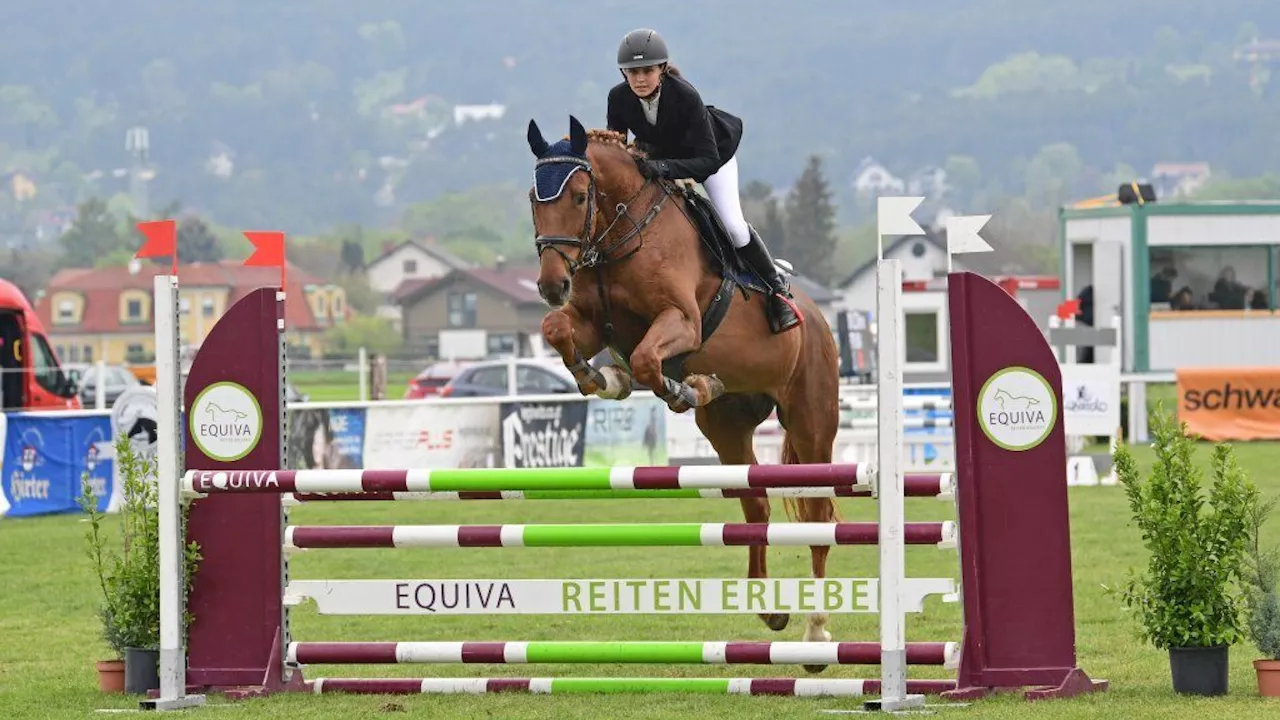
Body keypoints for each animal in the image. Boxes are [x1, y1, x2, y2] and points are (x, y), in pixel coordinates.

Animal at [524, 113, 844, 666]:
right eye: (532, 198)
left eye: (581, 197)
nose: (550, 284)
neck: (620, 235)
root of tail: (819, 317)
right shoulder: (592, 322)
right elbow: (558, 330)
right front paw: (605, 379)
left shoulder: (683, 322)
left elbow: (649, 360)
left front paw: (684, 387)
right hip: (728, 428)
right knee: (756, 504)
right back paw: (768, 609)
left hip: (811, 420)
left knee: (818, 513)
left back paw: (816, 633)